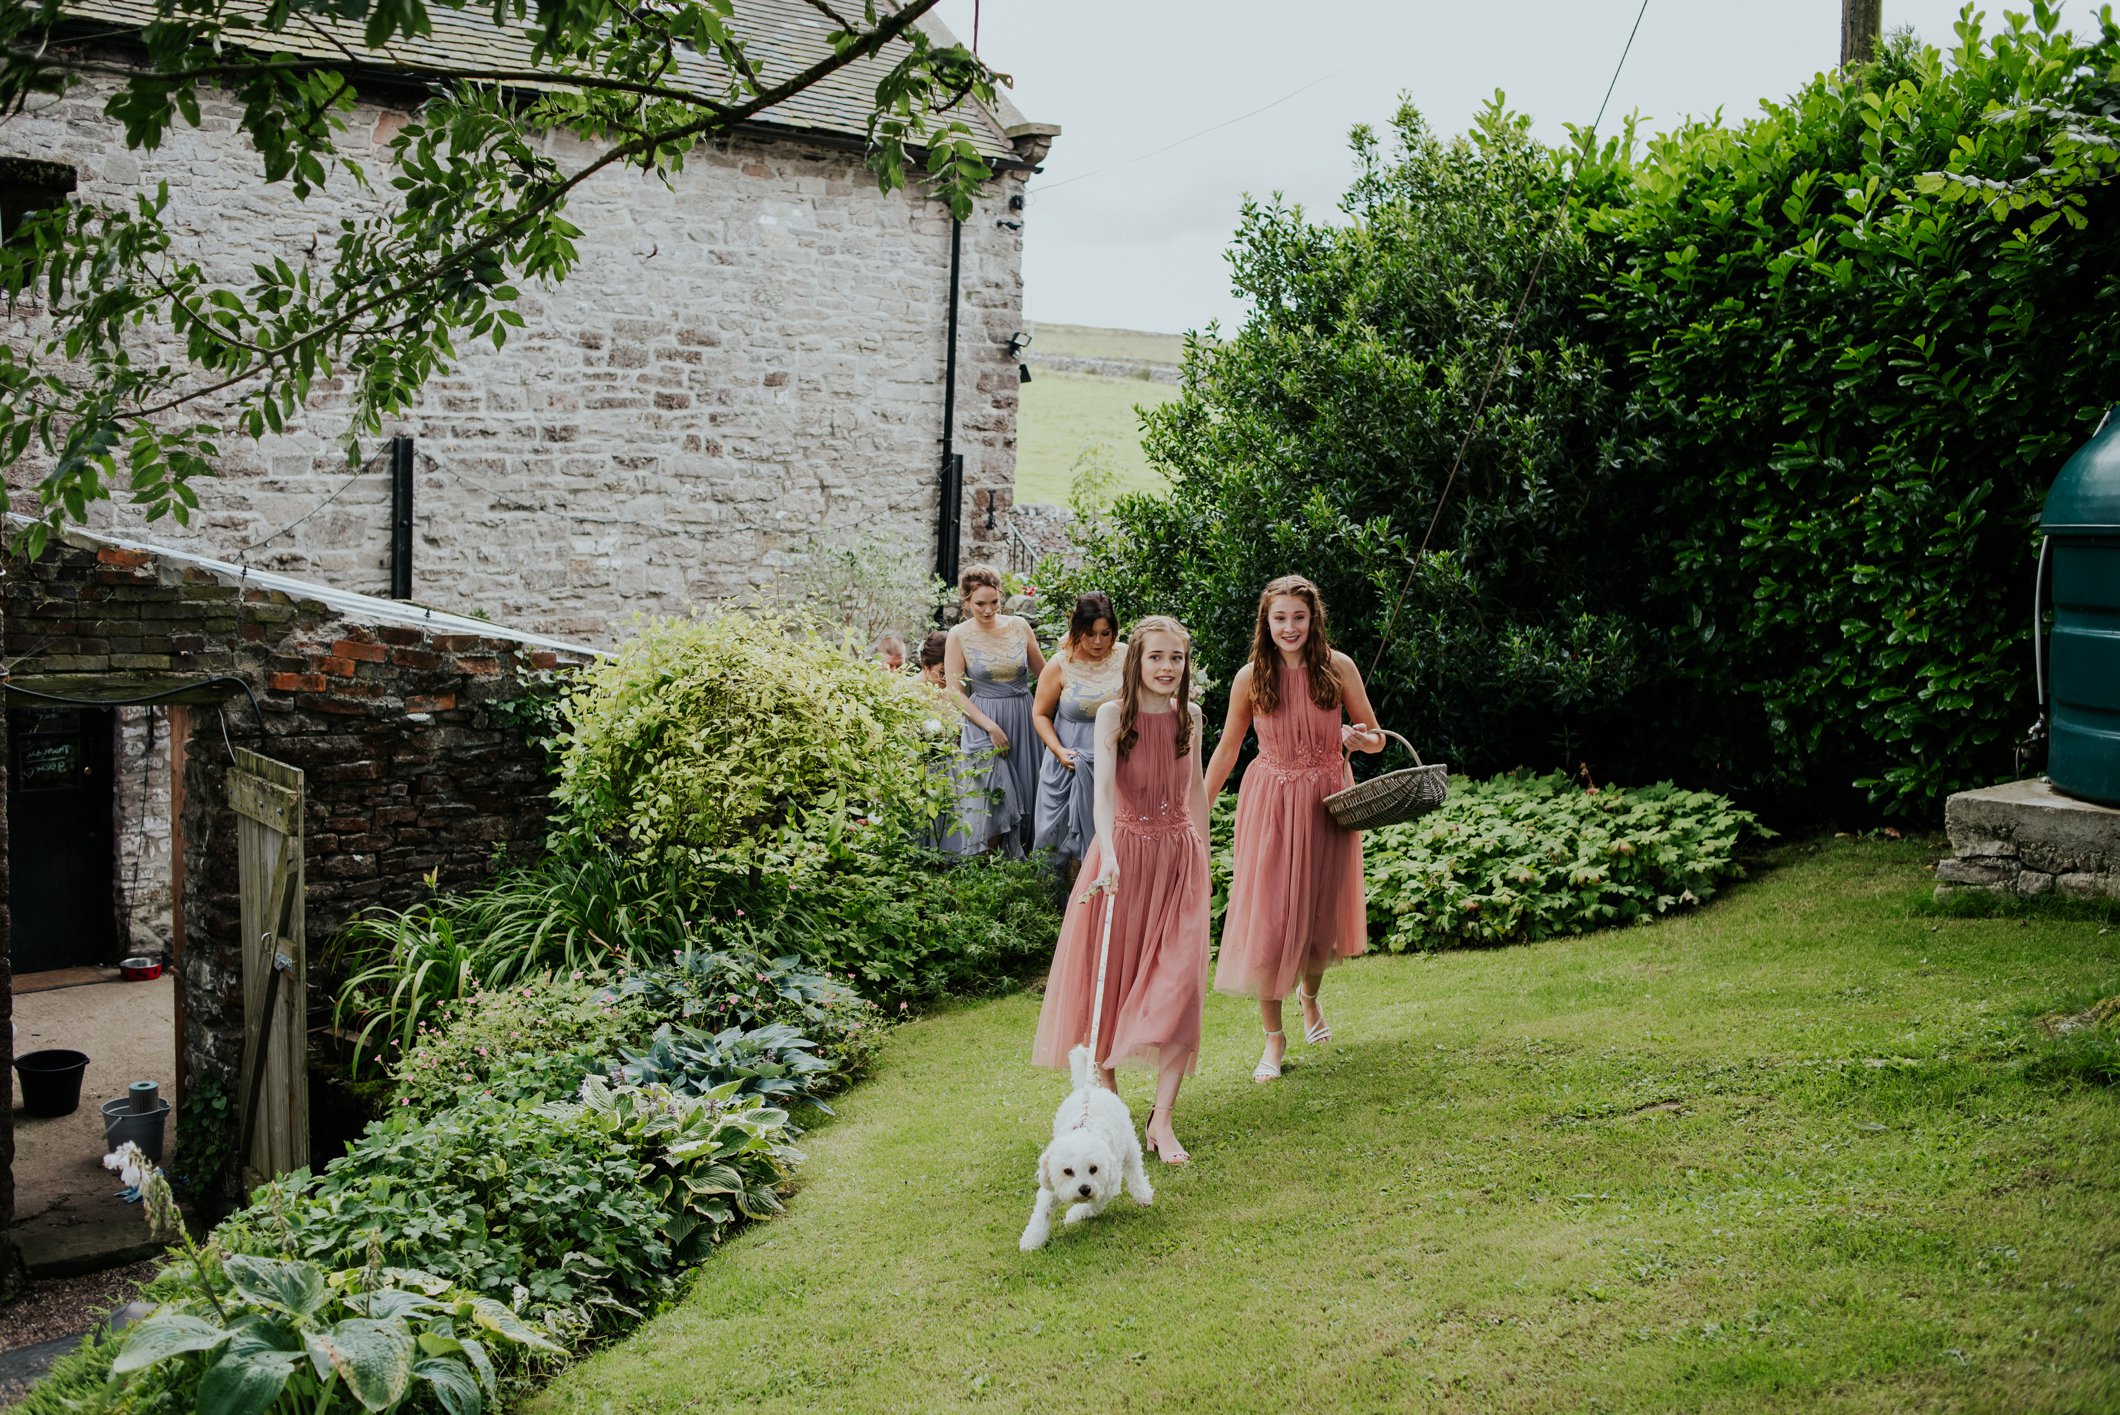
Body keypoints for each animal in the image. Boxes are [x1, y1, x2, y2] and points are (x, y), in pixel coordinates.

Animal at [1019, 1044, 1153, 1251]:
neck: (1084, 1130)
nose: (1084, 1189)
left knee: (1135, 1171)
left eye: (1093, 1169)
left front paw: (1075, 1214)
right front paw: (1032, 1239)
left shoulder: (1107, 1186)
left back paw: (1143, 1194)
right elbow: (1042, 1212)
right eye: (1067, 1171)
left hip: (1129, 1146)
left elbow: (1092, 1205)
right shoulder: (1051, 1186)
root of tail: (1093, 1089)